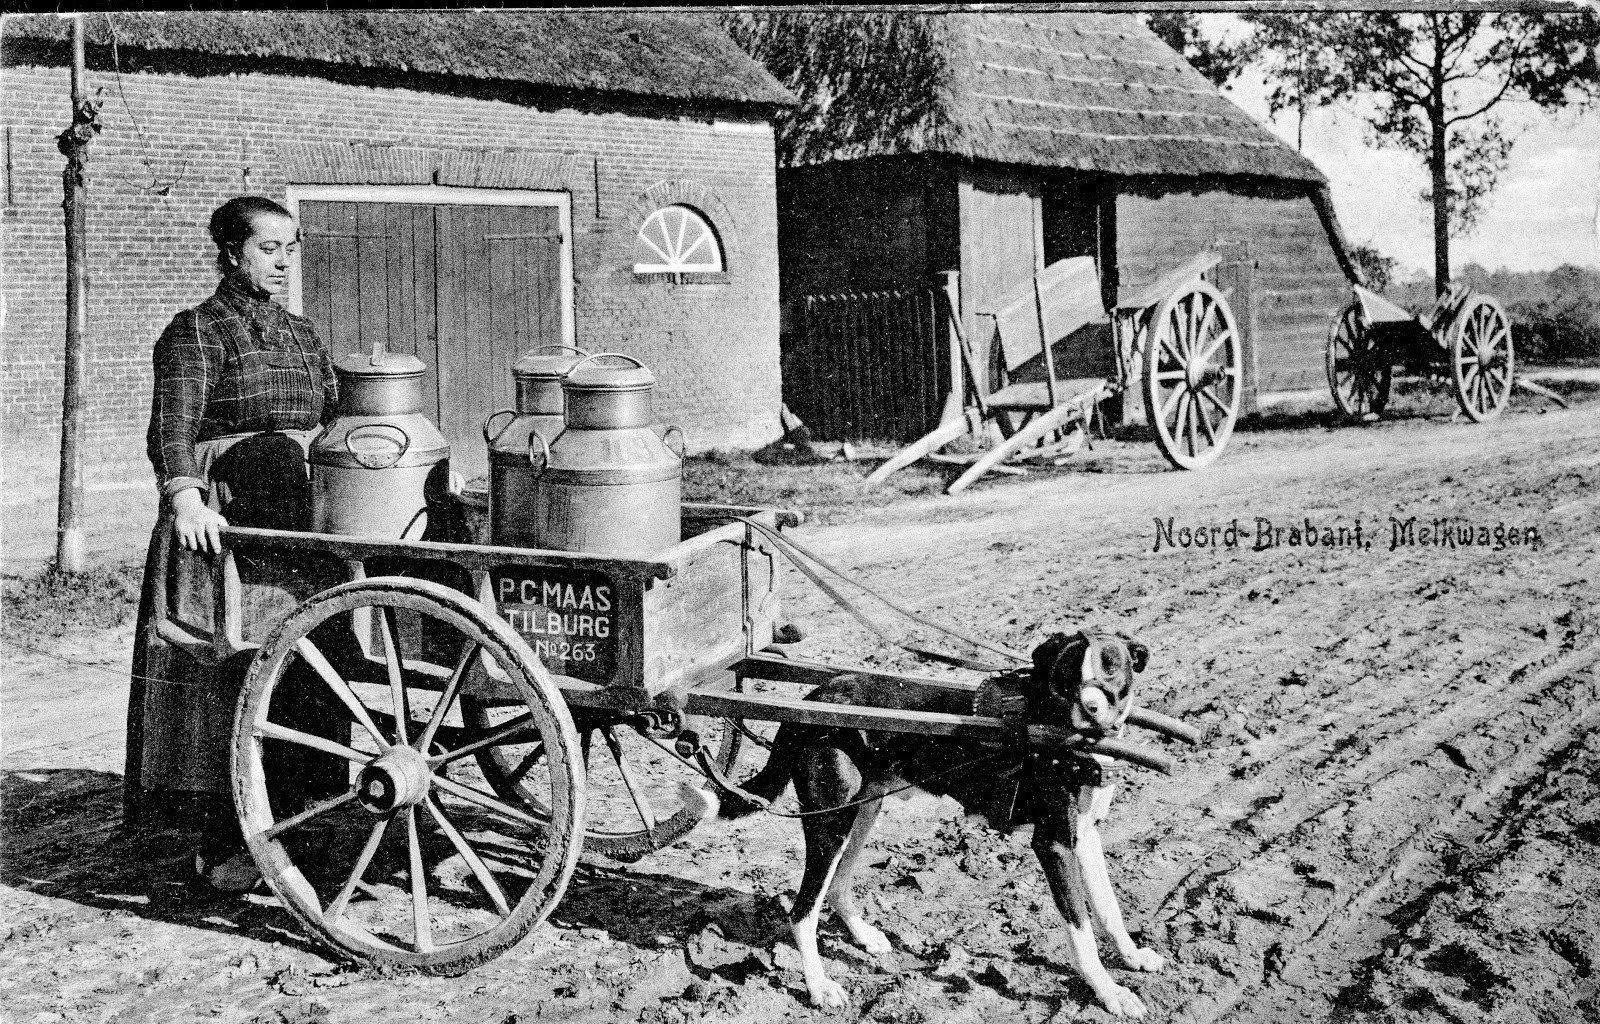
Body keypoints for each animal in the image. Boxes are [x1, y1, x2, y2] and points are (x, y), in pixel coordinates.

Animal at [684, 633, 1164, 1017]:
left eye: (1112, 665)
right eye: (1066, 676)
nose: (1091, 708)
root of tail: (807, 703)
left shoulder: (1085, 834)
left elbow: (1109, 909)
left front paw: (1133, 956)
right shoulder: (1054, 844)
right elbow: (1082, 932)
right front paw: (1110, 993)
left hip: (864, 810)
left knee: (836, 886)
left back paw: (863, 936)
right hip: (831, 820)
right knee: (802, 911)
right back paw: (820, 987)